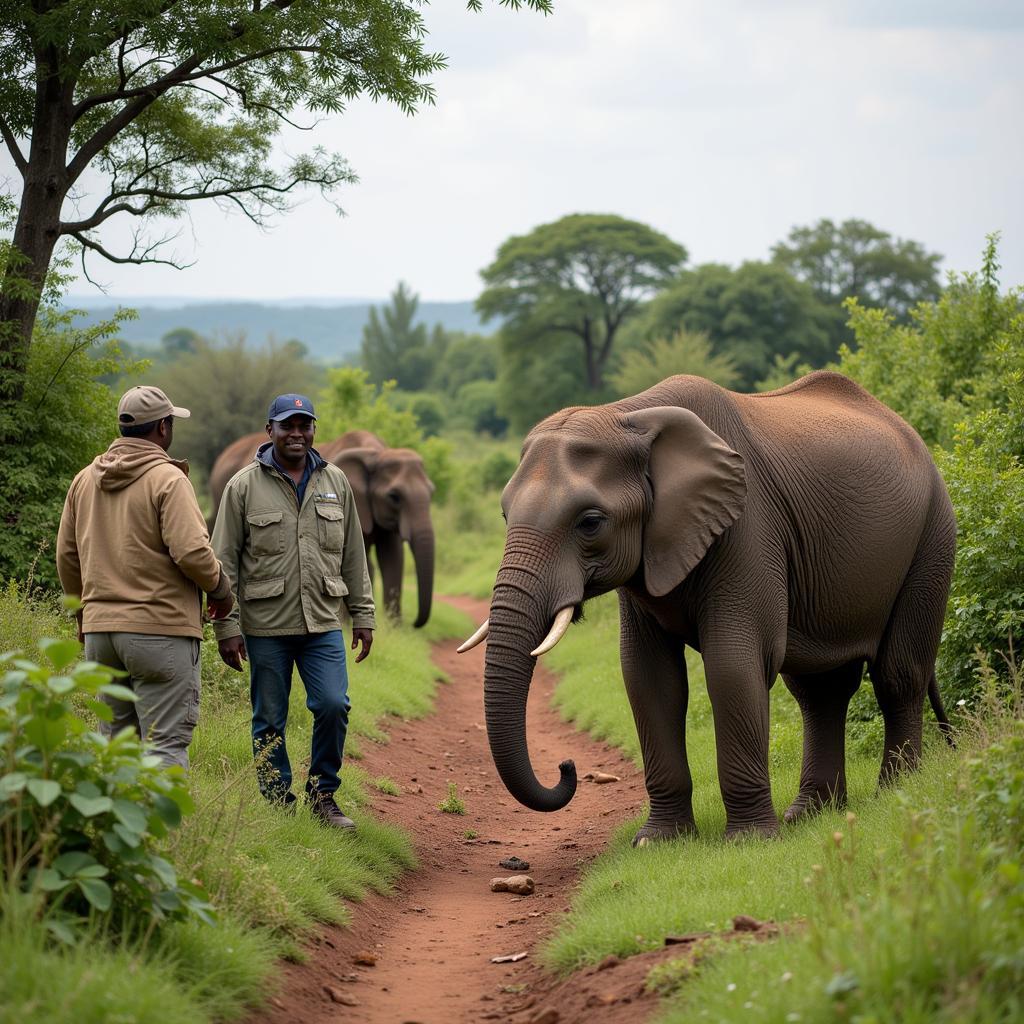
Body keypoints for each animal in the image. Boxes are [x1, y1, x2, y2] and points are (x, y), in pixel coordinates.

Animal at [331, 430, 436, 622]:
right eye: (394, 497)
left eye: (432, 492)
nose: (414, 624)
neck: (376, 454)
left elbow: (394, 558)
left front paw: (394, 626)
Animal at [460, 372, 954, 843]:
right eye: (504, 516)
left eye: (590, 523)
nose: (566, 767)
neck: (629, 415)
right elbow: (647, 675)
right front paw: (659, 841)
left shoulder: (748, 526)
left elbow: (732, 665)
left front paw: (749, 841)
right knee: (820, 690)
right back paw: (810, 814)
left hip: (933, 536)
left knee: (897, 675)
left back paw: (896, 793)